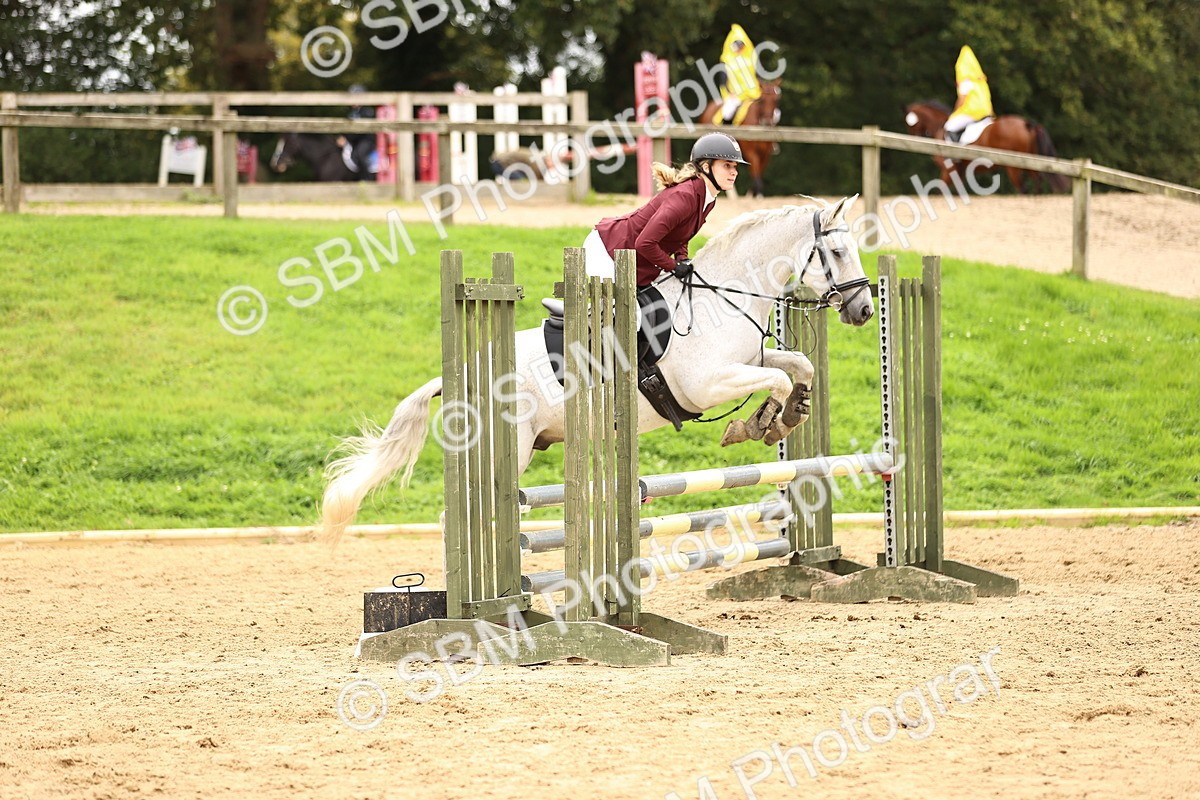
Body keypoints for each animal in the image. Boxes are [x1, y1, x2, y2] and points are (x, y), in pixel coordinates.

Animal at [319, 196, 876, 540]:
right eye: (837, 251)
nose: (865, 310)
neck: (726, 294)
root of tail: (455, 377)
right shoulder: (706, 384)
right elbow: (777, 377)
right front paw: (758, 424)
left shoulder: (748, 360)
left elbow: (797, 364)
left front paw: (790, 413)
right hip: (506, 449)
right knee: (460, 516)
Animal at [903, 101, 1070, 194]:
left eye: (910, 124)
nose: (913, 138)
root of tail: (1026, 124)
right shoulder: (959, 172)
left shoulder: (948, 170)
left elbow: (941, 189)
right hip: (1029, 164)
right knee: (1037, 182)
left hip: (1013, 168)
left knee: (1023, 188)